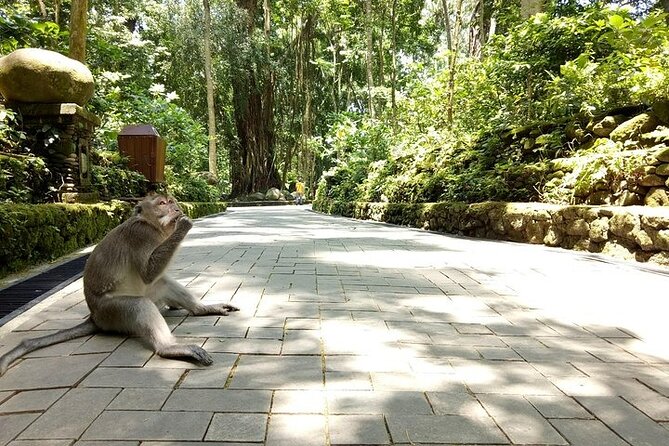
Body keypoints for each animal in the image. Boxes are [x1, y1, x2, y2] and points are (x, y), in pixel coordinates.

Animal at [0, 194, 238, 376]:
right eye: (162, 203)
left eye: (171, 201)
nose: (175, 208)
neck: (151, 225)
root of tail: (94, 317)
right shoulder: (141, 235)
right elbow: (148, 273)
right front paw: (183, 225)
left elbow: (154, 277)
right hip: (112, 312)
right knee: (140, 304)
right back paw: (169, 348)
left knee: (162, 283)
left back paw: (201, 308)